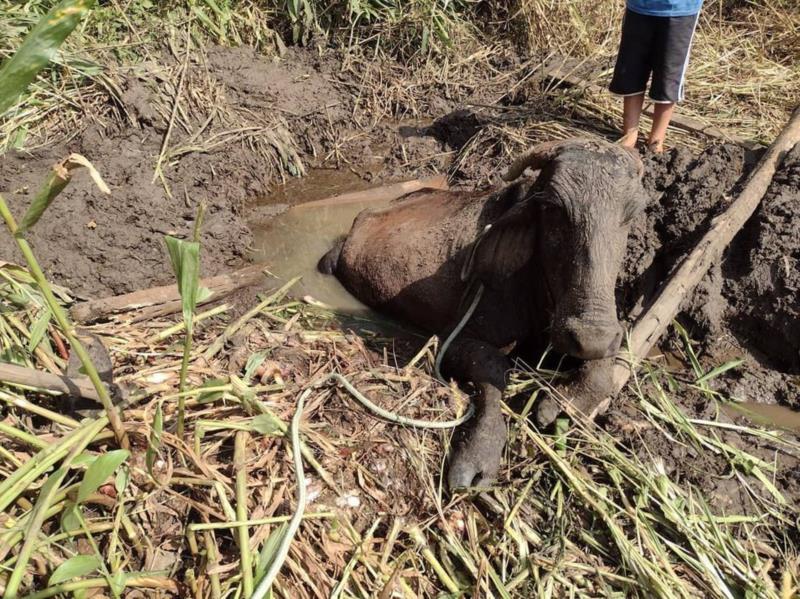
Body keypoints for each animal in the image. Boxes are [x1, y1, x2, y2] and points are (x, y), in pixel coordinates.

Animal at [316, 138, 648, 490]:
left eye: (633, 212)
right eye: (553, 208)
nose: (590, 334)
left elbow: (604, 364)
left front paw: (563, 404)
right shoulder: (454, 340)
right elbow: (492, 369)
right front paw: (480, 452)